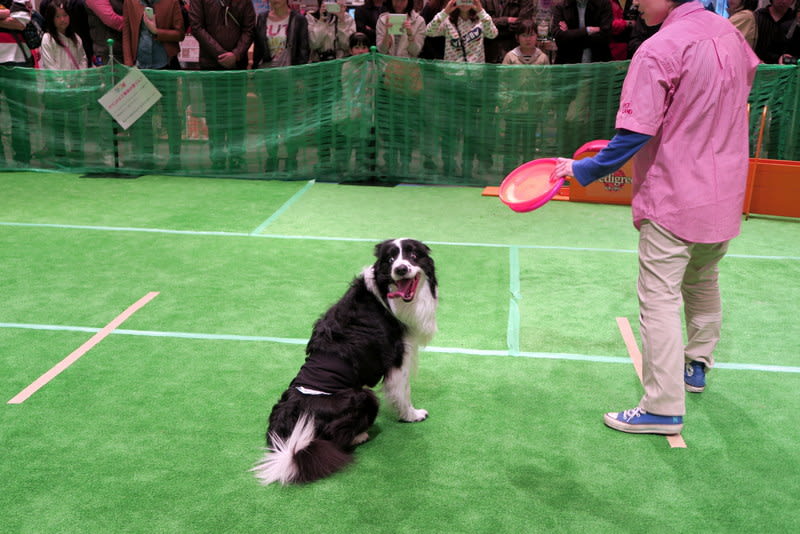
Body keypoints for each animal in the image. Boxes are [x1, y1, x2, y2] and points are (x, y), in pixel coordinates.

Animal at [253, 239, 438, 486]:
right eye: (390, 259)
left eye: (413, 255)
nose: (400, 269)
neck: (385, 296)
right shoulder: (398, 359)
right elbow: (403, 392)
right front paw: (413, 415)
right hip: (363, 397)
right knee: (335, 439)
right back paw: (360, 435)